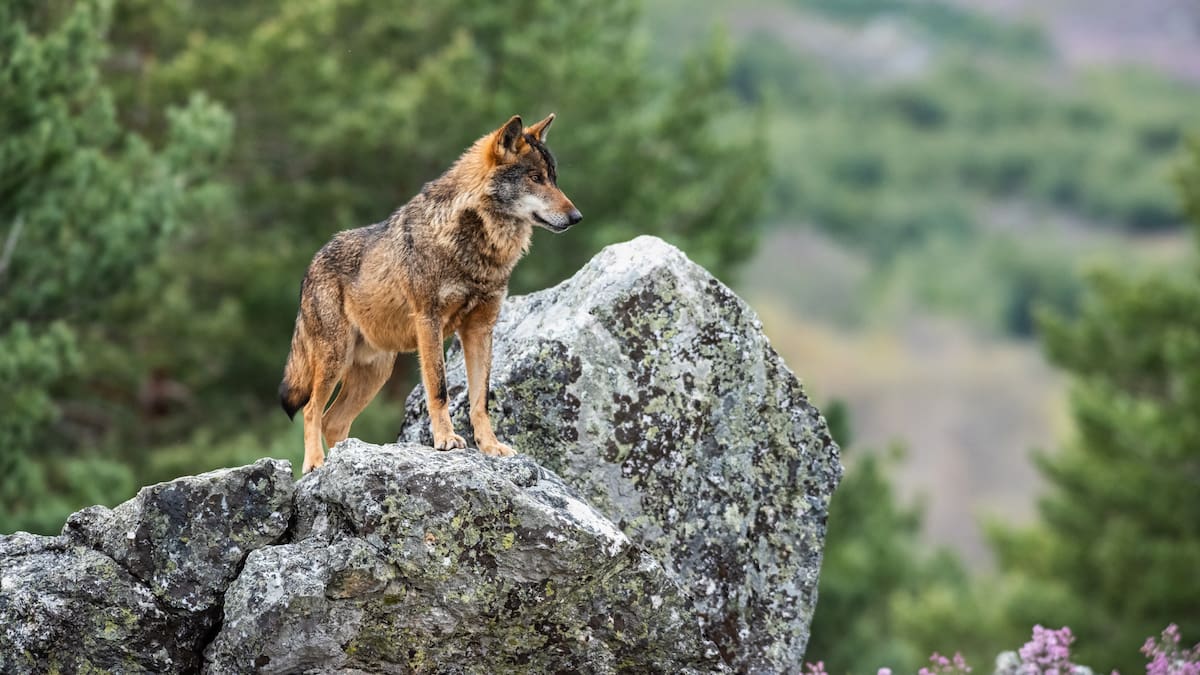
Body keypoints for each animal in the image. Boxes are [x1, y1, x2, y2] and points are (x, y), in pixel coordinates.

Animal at [278, 114, 581, 473]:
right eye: (535, 178)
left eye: (554, 178)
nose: (577, 217)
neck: (477, 247)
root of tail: (311, 264)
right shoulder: (429, 321)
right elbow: (439, 390)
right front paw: (446, 440)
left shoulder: (480, 330)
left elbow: (481, 400)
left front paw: (490, 447)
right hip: (335, 359)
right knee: (312, 410)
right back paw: (316, 464)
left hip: (376, 372)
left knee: (333, 421)